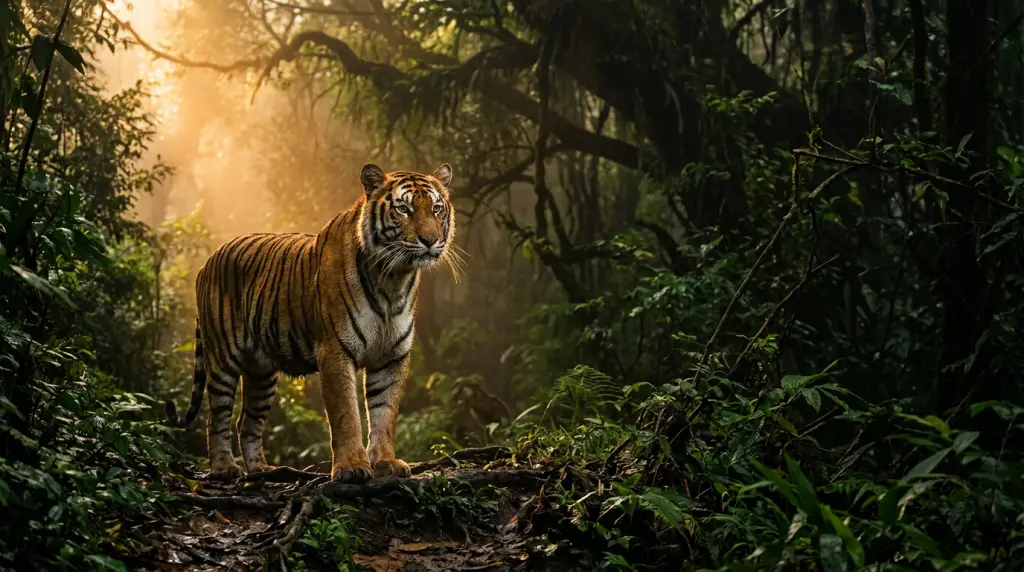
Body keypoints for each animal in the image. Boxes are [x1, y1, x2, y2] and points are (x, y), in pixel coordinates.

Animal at [164, 163, 456, 483]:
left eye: (437, 209)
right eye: (404, 209)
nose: (430, 240)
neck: (393, 280)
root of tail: (208, 261)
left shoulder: (392, 356)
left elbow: (385, 413)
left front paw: (385, 462)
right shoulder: (335, 351)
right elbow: (346, 414)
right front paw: (352, 467)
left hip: (262, 372)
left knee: (247, 422)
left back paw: (261, 471)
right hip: (222, 358)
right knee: (215, 416)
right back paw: (223, 469)